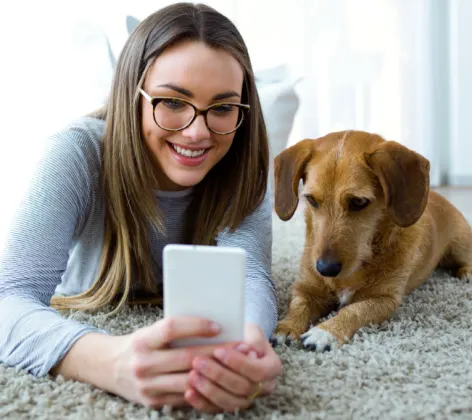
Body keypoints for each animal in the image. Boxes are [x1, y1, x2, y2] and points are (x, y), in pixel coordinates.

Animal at [272, 131, 472, 352]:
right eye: (311, 200)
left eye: (359, 202)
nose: (325, 269)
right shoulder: (306, 289)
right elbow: (298, 306)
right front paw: (286, 327)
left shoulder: (384, 300)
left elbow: (354, 310)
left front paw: (326, 331)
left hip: (459, 247)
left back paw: (466, 272)